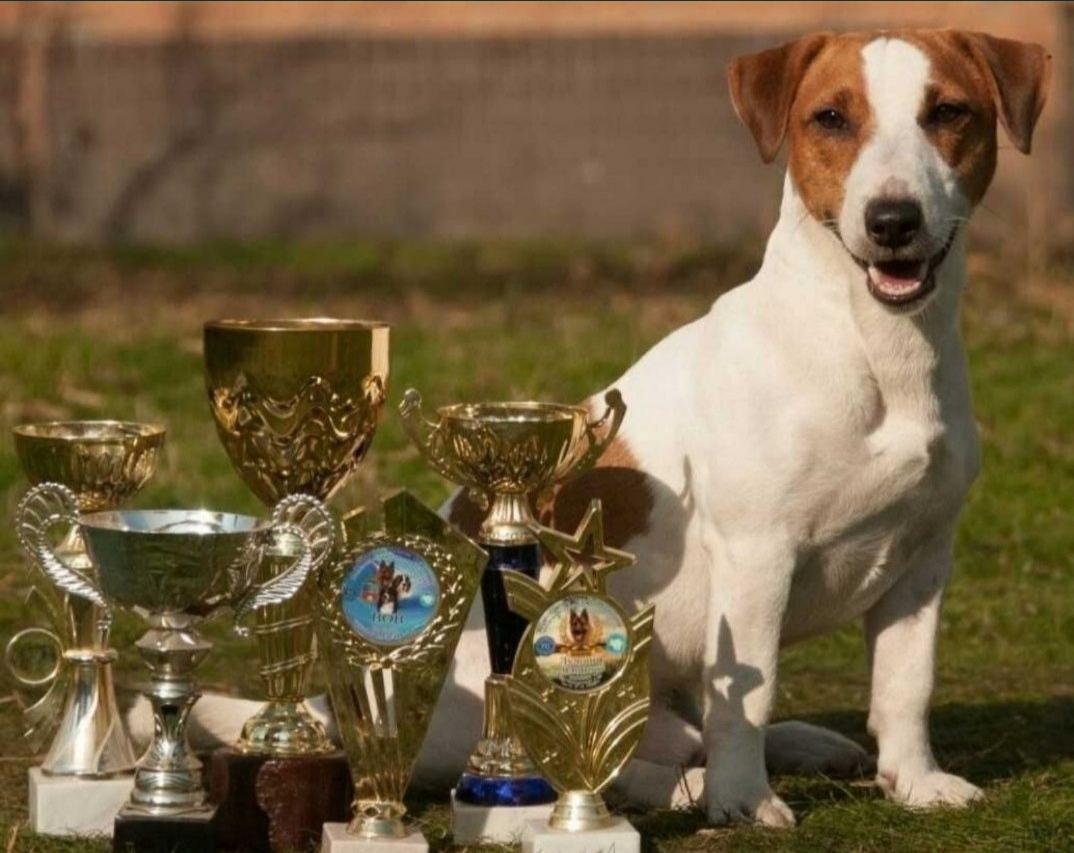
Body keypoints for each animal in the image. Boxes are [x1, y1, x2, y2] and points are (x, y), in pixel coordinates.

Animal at [173, 28, 1048, 825]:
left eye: (948, 112)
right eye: (830, 118)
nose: (893, 219)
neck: (874, 350)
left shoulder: (922, 562)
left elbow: (905, 685)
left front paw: (916, 782)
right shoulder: (758, 553)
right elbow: (750, 693)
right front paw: (741, 800)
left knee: (682, 729)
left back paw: (803, 745)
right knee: (631, 758)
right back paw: (688, 785)